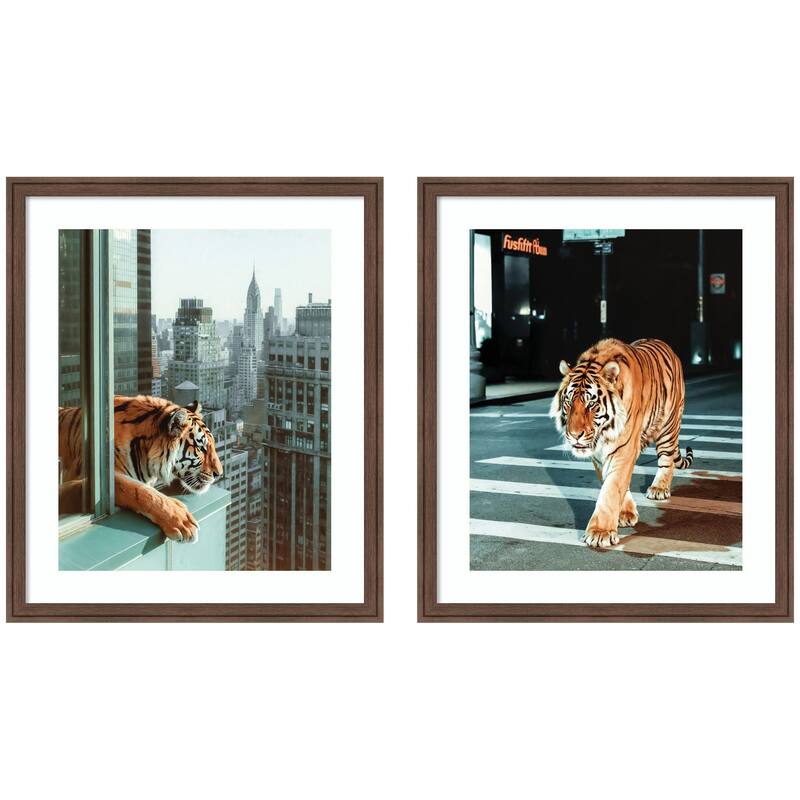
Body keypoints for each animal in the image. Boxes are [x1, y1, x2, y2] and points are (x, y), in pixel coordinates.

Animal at [549, 338, 694, 548]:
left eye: (591, 404)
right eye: (569, 402)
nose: (575, 435)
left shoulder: (623, 448)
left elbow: (612, 487)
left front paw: (599, 532)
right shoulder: (599, 455)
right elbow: (614, 482)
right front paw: (625, 514)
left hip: (668, 426)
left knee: (667, 460)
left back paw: (659, 488)